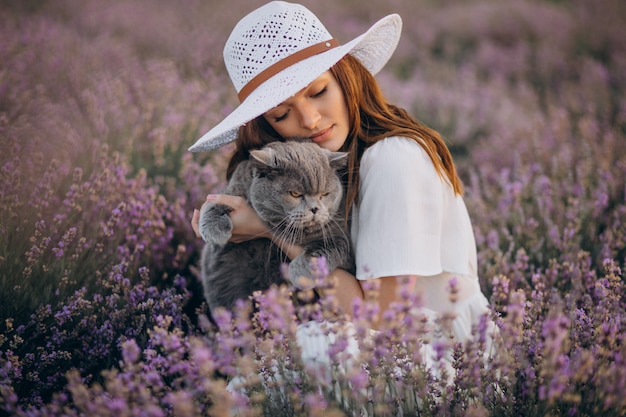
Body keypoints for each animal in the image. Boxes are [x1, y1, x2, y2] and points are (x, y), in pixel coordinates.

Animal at [197, 138, 354, 310]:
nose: (315, 209)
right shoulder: (236, 186)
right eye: (295, 194)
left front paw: (299, 273)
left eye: (324, 194)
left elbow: (324, 250)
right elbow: (217, 201)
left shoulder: (341, 236)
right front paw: (215, 230)